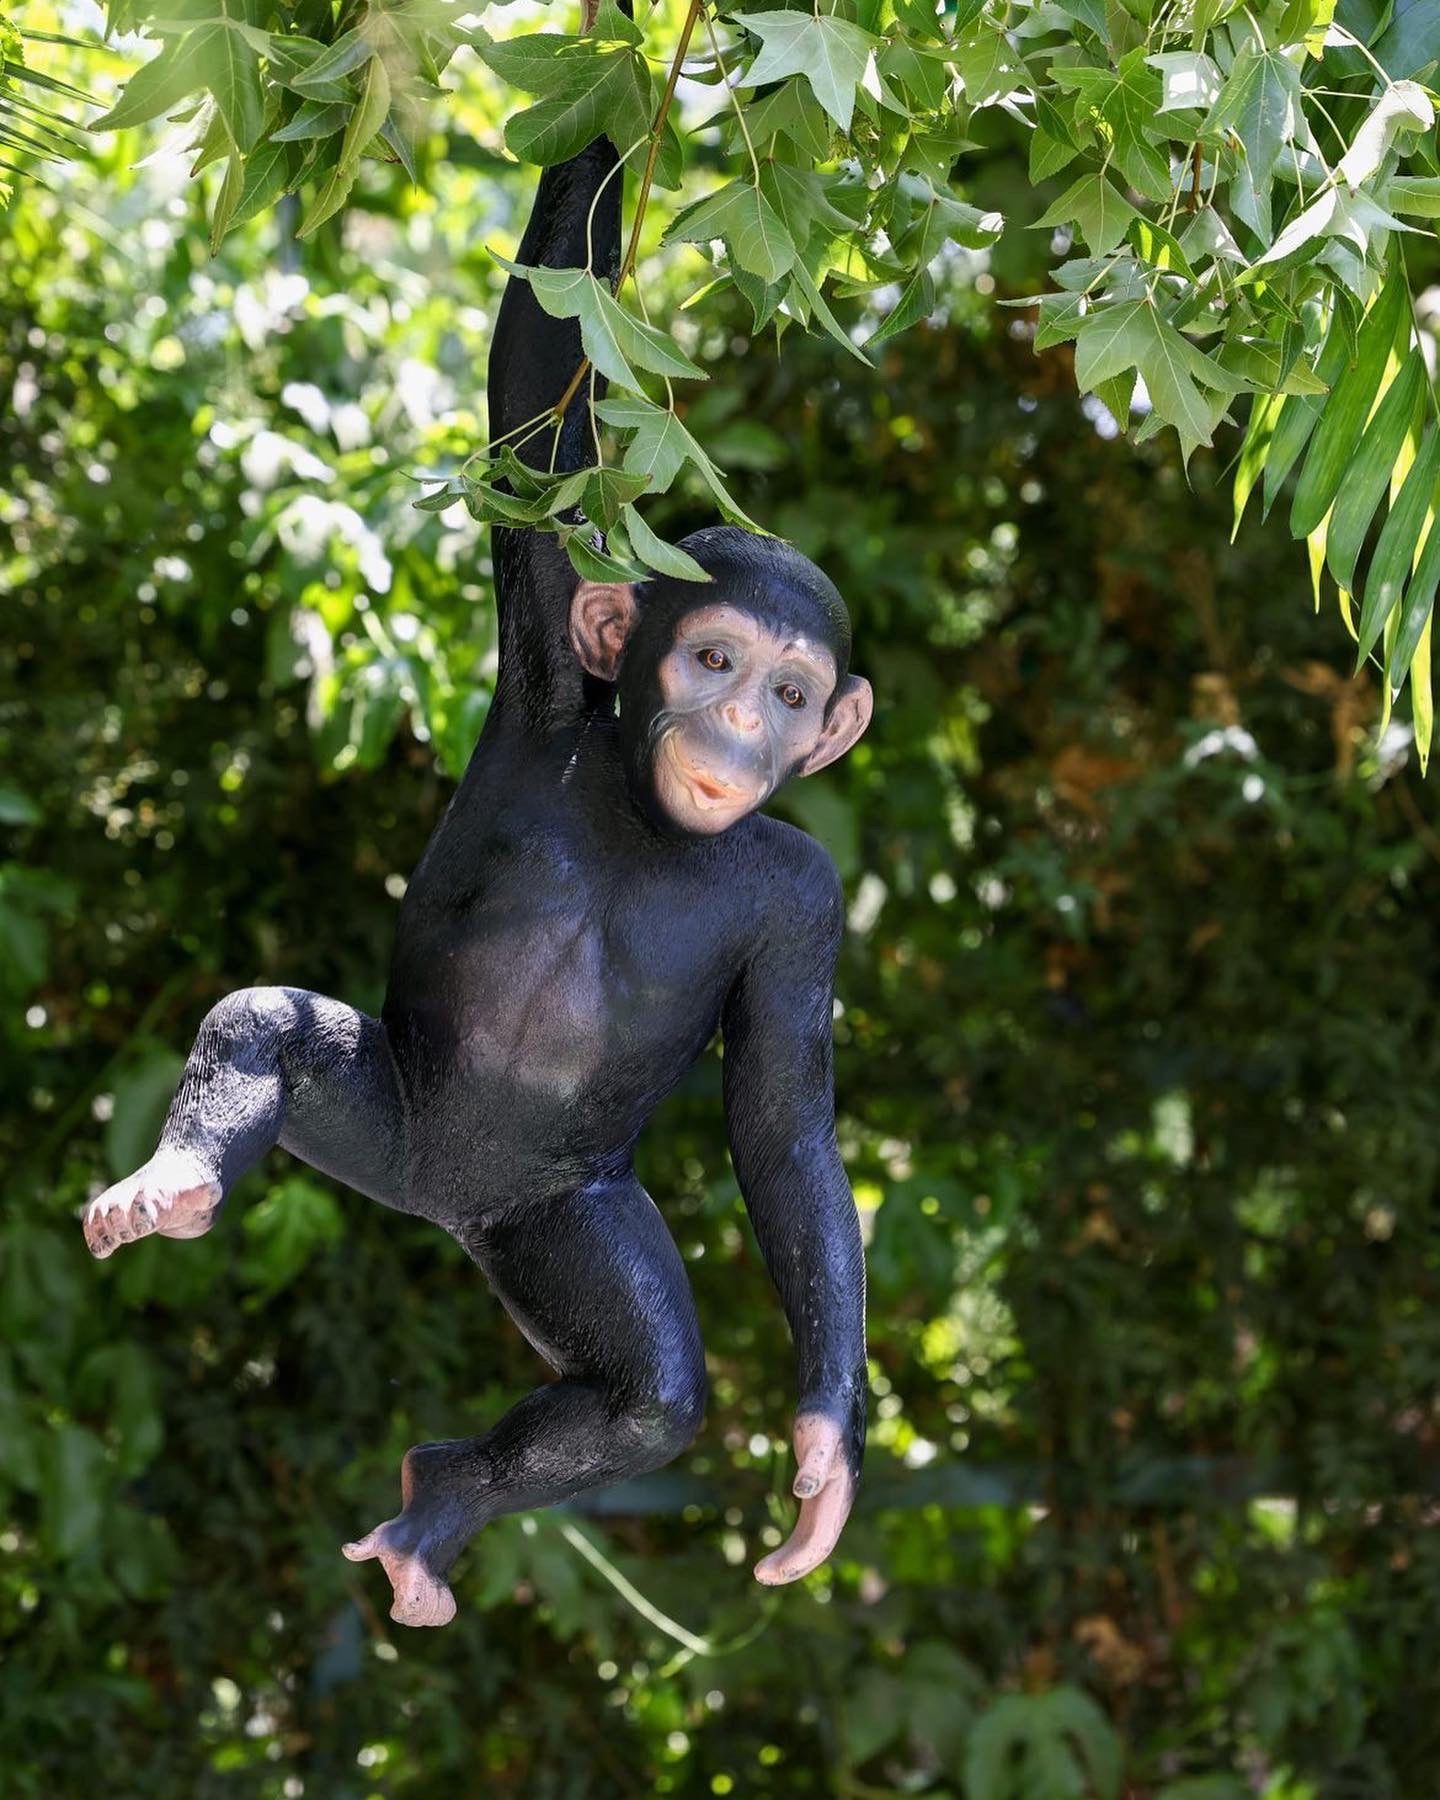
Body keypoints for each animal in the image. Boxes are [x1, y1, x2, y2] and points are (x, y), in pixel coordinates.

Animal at [82, 83, 872, 1632]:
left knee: (645, 1392)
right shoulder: (553, 654)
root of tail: (438, 1204)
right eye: (712, 658)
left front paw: (826, 1454)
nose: (743, 723)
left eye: (793, 690)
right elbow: (541, 403)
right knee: (266, 1027)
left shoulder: (807, 909)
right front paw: (632, 87)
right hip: (380, 1117)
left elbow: (784, 1126)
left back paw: (438, 1505)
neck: (652, 819)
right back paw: (179, 1182)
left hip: (554, 1219)